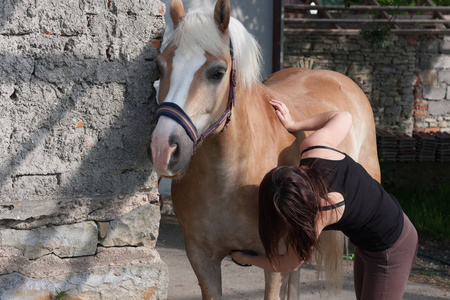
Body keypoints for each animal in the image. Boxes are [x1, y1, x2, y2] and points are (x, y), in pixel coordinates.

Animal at [150, 0, 380, 298]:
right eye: (159, 67)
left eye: (217, 72)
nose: (163, 149)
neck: (230, 176)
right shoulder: (202, 259)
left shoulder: (273, 262)